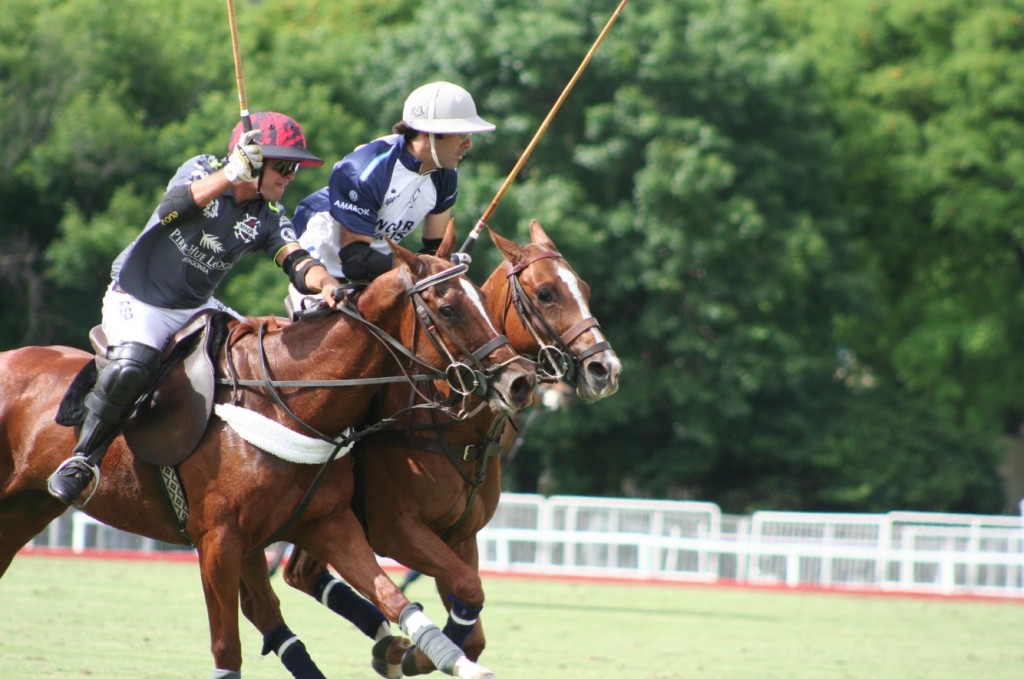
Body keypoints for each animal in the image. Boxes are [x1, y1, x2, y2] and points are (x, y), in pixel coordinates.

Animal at [0, 224, 536, 679]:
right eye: (448, 308)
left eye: (482, 299)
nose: (520, 380)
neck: (290, 397)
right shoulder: (219, 540)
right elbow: (227, 651)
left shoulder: (329, 523)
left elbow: (398, 596)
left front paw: (442, 659)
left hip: (27, 506)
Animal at [278, 220, 622, 675]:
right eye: (546, 293)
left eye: (583, 287)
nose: (605, 369)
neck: (459, 428)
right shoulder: (396, 529)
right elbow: (465, 591)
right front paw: (417, 653)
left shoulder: (459, 535)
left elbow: (470, 619)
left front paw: (414, 652)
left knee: (300, 572)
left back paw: (386, 644)